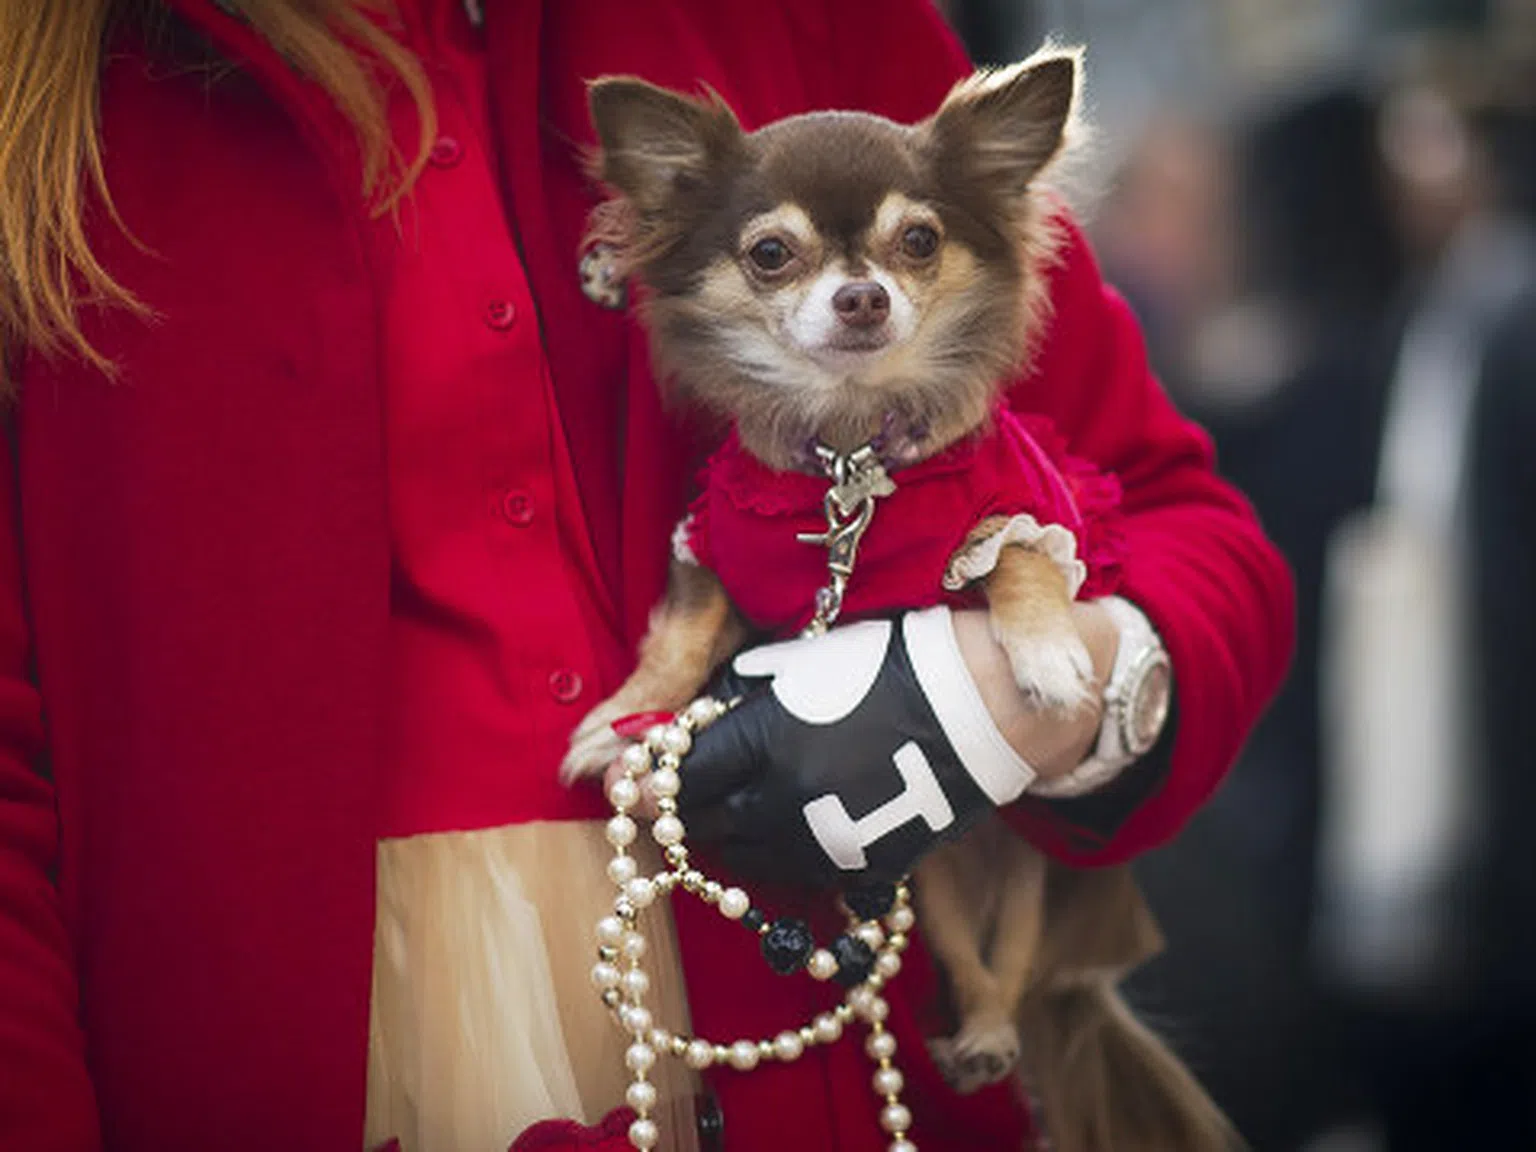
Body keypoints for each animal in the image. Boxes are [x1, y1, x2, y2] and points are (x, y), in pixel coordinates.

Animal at [565, 49, 1234, 1152]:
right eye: (771, 253)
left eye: (918, 240)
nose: (862, 297)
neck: (850, 459)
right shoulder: (708, 551)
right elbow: (684, 632)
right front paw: (628, 713)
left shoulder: (1027, 506)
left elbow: (1017, 563)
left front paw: (1047, 656)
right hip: (933, 874)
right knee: (963, 952)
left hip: (1011, 866)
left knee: (1008, 961)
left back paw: (993, 1034)